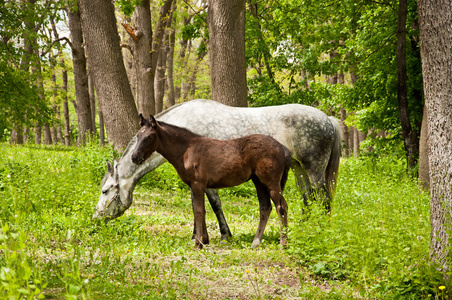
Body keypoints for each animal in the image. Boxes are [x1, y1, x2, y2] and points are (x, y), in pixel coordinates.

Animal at [92, 99, 340, 243]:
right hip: (299, 171)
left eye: (105, 191)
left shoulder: (205, 179)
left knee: (324, 201)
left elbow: (212, 204)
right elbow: (198, 205)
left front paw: (218, 235)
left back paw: (321, 232)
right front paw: (201, 235)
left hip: (314, 171)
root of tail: (328, 120)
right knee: (307, 200)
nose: (95, 219)